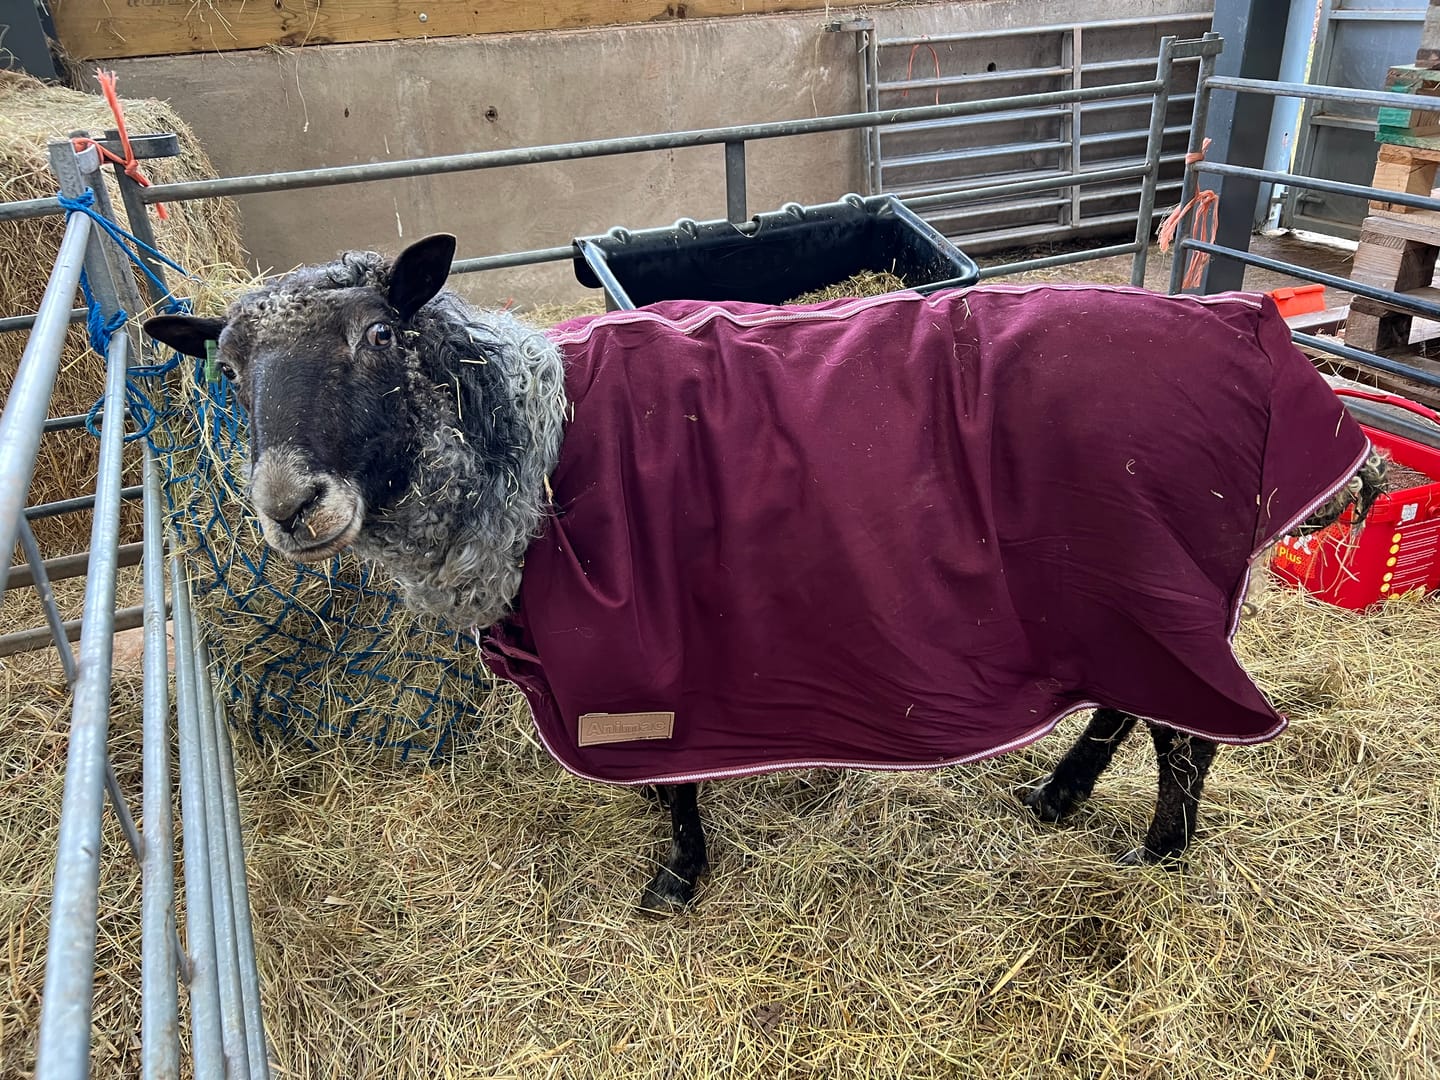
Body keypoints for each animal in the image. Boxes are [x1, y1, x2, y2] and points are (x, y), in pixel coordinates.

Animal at [145, 233, 1387, 913]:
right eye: (233, 373)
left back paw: (1159, 852)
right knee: (1134, 707)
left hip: (1151, 579)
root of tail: (1255, 334)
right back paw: (1060, 796)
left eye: (379, 339)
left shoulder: (638, 667)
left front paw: (677, 881)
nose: (290, 506)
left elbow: (673, 786)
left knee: (1188, 733)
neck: (531, 448)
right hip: (1123, 591)